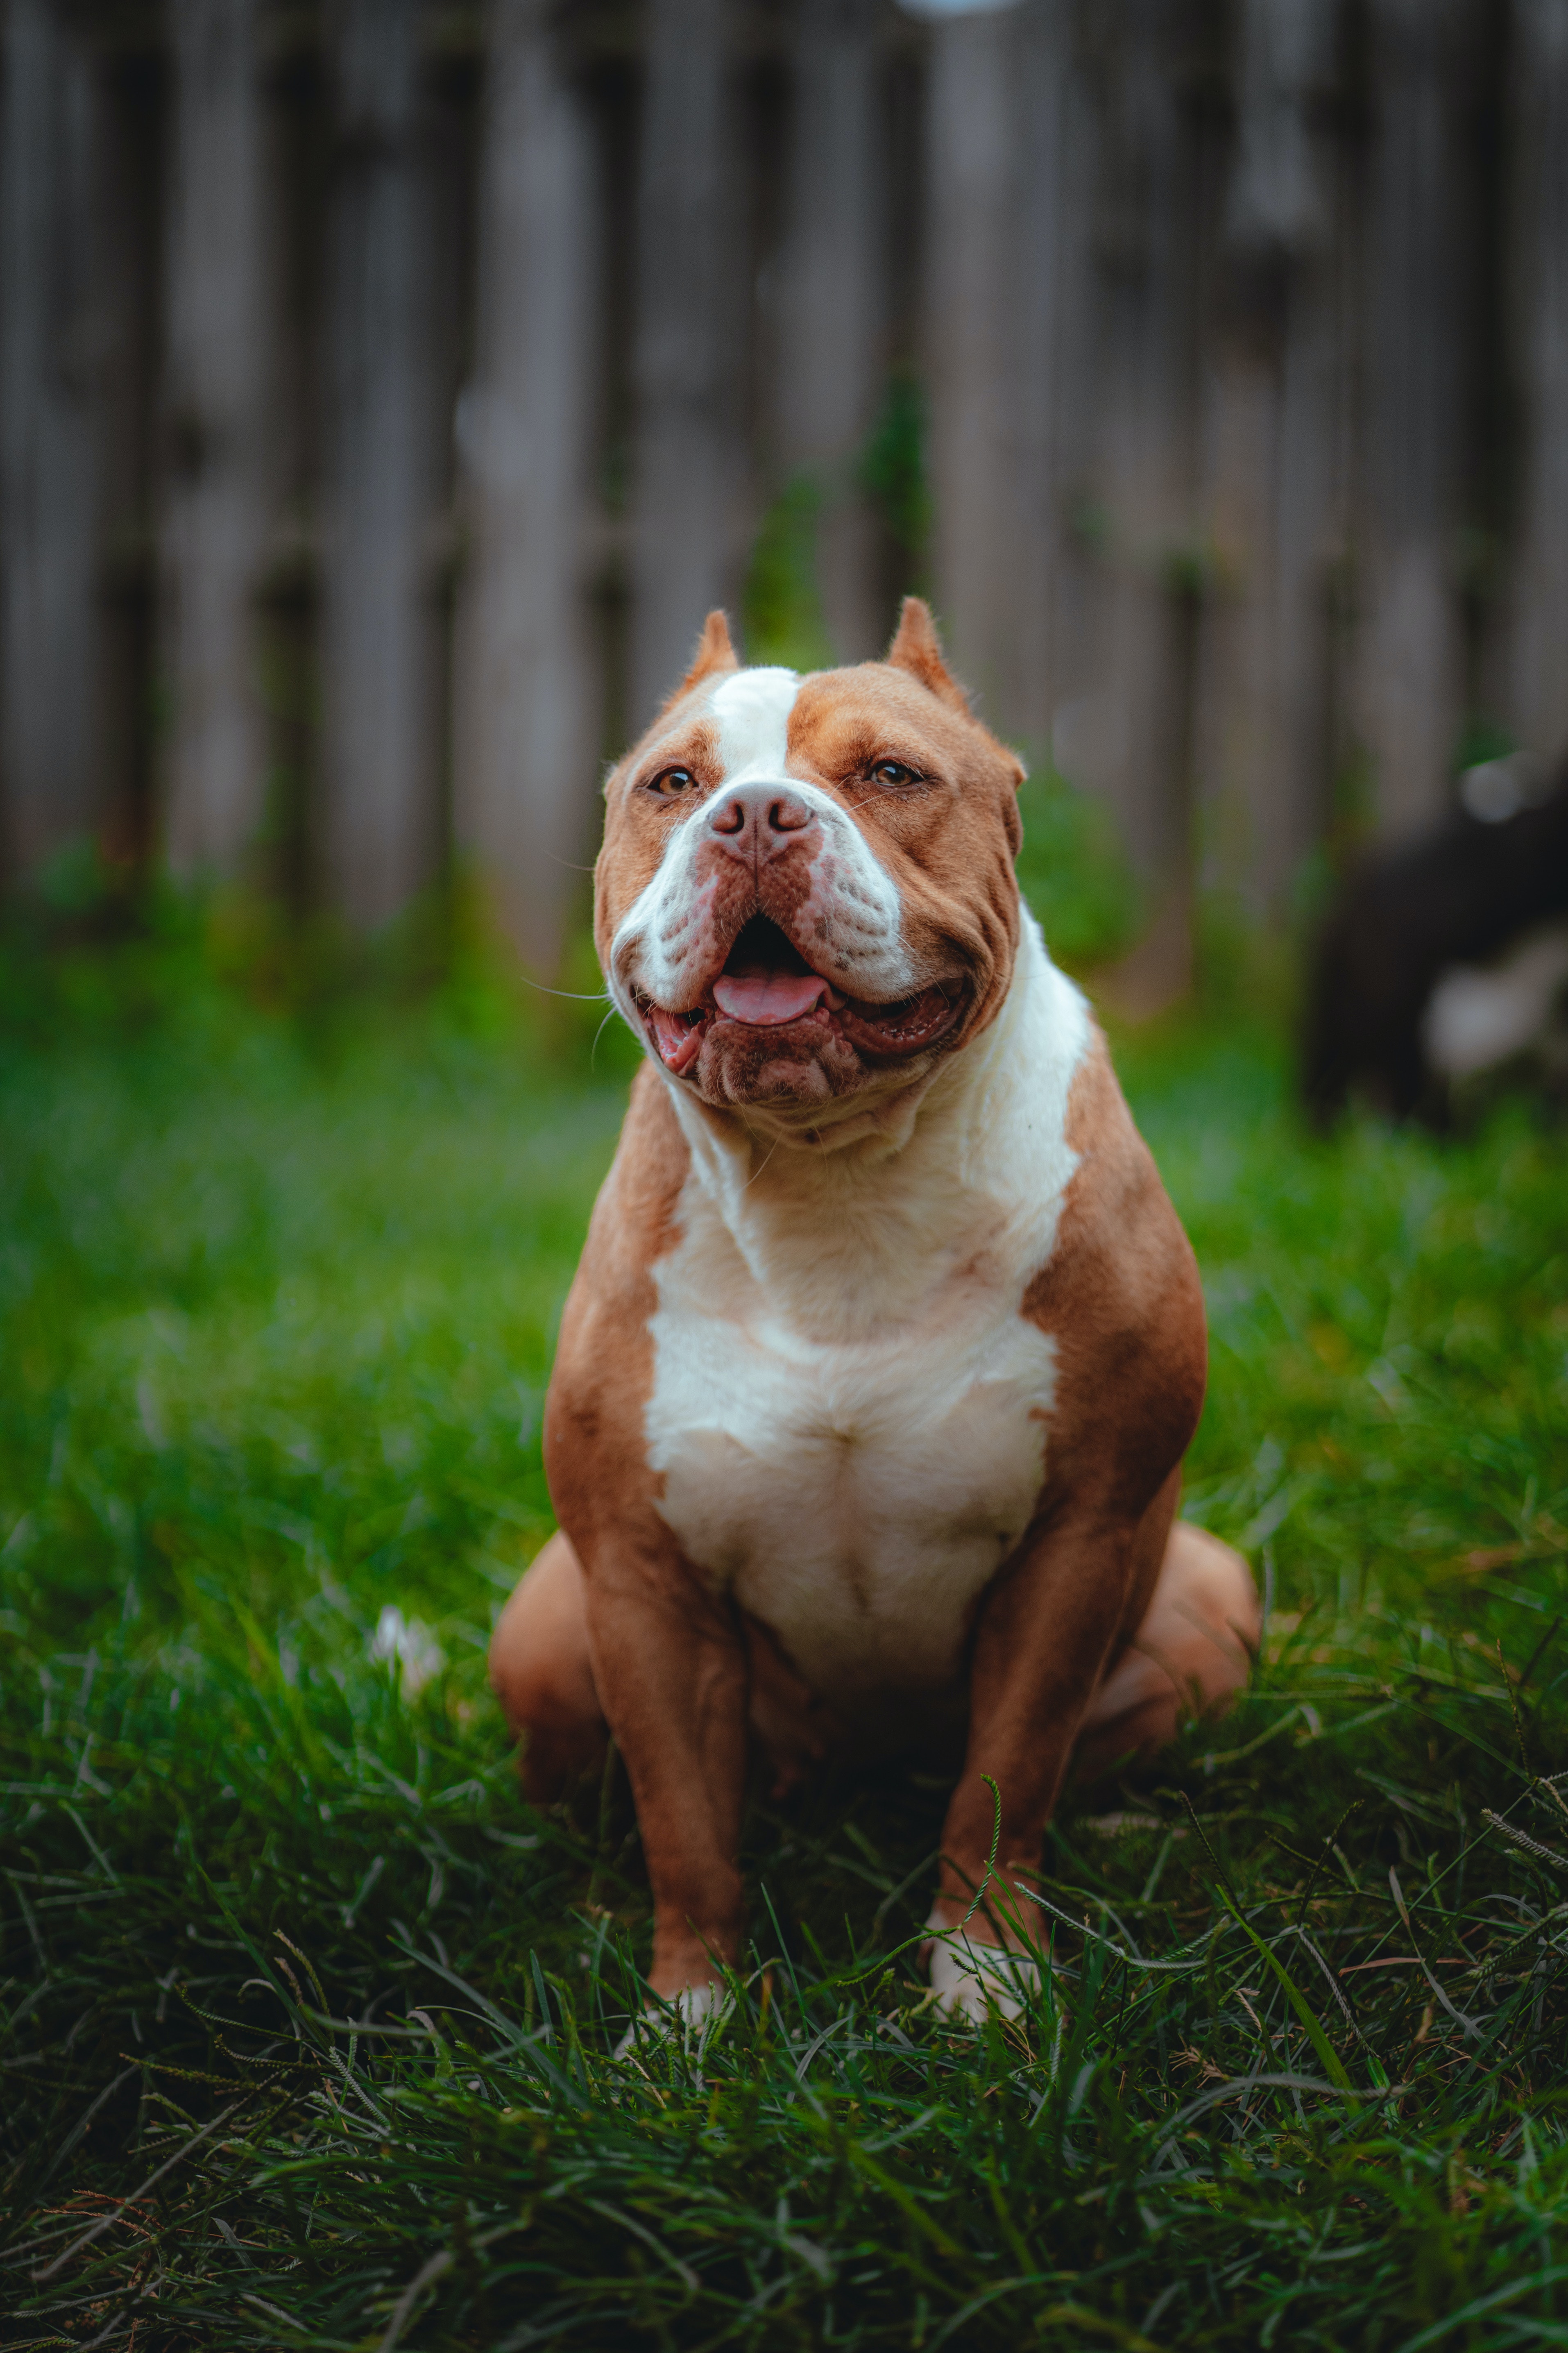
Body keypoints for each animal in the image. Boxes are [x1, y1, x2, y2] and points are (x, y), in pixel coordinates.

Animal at [494, 602, 1260, 2023]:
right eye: (670, 784)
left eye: (892, 774)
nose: (752, 816)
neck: (831, 1183)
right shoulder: (638, 1578)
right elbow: (686, 1826)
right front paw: (687, 2017)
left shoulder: (1075, 1543)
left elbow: (1003, 1782)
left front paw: (982, 1978)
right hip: (545, 1630)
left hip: (1208, 1592)